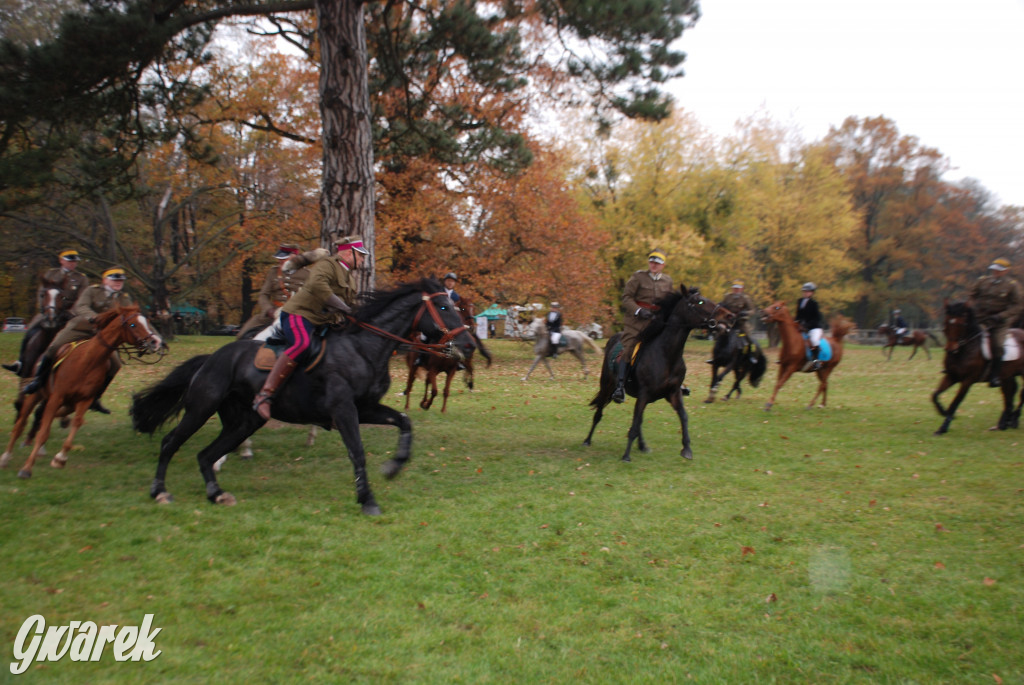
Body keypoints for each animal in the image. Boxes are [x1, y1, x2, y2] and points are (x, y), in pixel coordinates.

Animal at [1, 307, 165, 479]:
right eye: (133, 324)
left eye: (147, 322)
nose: (155, 342)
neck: (87, 361)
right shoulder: (57, 398)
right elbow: (43, 432)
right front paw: (26, 468)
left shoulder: (84, 400)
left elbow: (76, 423)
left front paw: (60, 459)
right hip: (37, 395)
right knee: (21, 423)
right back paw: (6, 457)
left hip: (63, 403)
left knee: (45, 416)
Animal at [130, 276, 477, 511]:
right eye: (443, 307)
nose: (469, 344)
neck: (363, 348)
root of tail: (211, 358)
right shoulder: (343, 410)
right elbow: (357, 451)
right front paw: (366, 499)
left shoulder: (366, 408)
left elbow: (404, 422)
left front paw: (394, 466)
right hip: (201, 408)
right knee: (171, 442)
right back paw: (160, 491)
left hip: (244, 422)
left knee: (207, 454)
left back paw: (216, 493)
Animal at [585, 286, 737, 462]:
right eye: (700, 301)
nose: (730, 316)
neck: (667, 354)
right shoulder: (644, 394)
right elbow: (635, 424)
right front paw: (626, 456)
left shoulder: (673, 393)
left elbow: (683, 416)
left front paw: (687, 449)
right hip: (607, 386)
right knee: (599, 412)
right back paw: (587, 440)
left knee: (639, 419)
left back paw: (642, 445)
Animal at [929, 298, 1024, 432]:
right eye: (946, 322)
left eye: (962, 324)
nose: (951, 350)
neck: (965, 349)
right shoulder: (951, 376)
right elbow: (935, 395)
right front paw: (944, 412)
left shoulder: (968, 380)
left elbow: (956, 401)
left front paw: (943, 427)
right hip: (1007, 376)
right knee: (1009, 393)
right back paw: (1004, 423)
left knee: (1019, 393)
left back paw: (1013, 419)